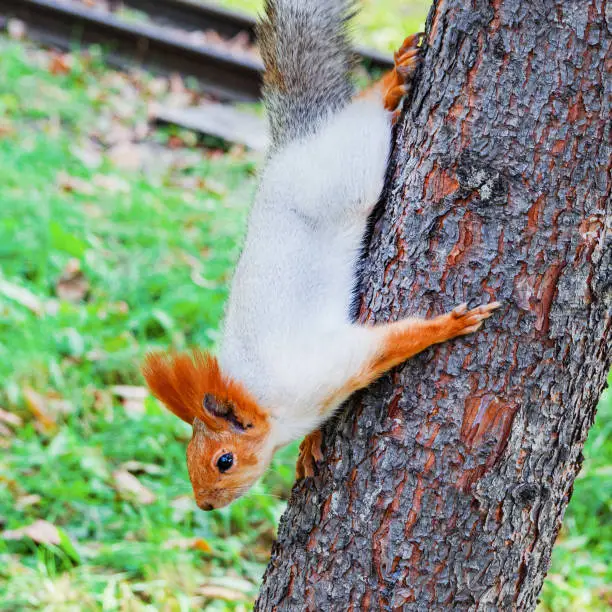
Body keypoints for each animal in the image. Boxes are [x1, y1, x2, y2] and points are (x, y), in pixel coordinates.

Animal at [141, 0, 500, 512]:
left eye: (223, 461)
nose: (205, 504)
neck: (265, 402)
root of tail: (290, 148)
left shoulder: (325, 365)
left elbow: (392, 343)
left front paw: (446, 326)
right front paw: (308, 448)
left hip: (351, 172)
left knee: (364, 116)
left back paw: (394, 77)